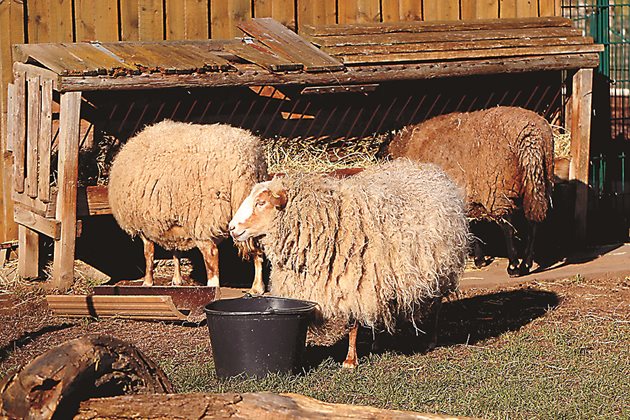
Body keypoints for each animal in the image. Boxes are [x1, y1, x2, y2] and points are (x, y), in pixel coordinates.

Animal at [111, 120, 270, 294]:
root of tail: (246, 164)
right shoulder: (173, 220)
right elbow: (175, 251)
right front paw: (176, 279)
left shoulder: (143, 225)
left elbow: (148, 253)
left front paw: (147, 282)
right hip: (251, 216)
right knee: (257, 250)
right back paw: (257, 287)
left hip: (203, 216)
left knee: (211, 255)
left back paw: (212, 288)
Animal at [230, 159, 472, 370]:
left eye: (261, 203)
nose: (232, 228)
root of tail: (429, 169)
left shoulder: (356, 282)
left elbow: (352, 324)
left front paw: (350, 360)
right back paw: (377, 342)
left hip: (439, 269)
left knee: (437, 304)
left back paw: (430, 339)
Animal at [388, 106, 556, 278]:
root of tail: (531, 137)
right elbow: (472, 225)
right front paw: (479, 259)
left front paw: (478, 259)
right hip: (539, 182)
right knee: (533, 222)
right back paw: (526, 264)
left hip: (497, 189)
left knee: (507, 226)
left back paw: (514, 266)